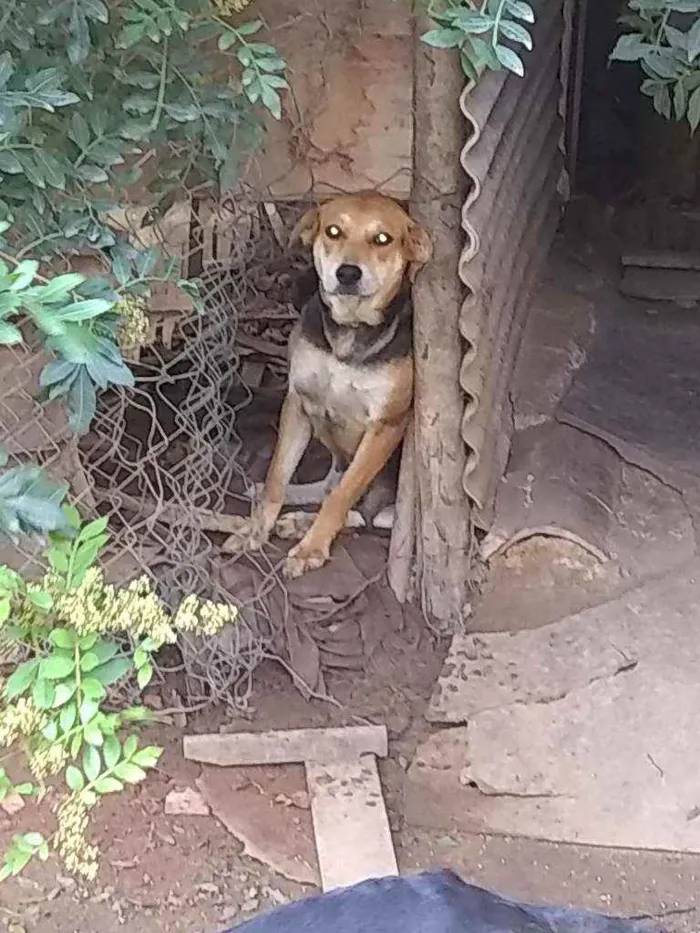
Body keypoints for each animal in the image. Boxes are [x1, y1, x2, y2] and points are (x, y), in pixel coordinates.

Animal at [246, 191, 432, 576]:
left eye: (382, 239)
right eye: (333, 231)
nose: (347, 273)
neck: (349, 331)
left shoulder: (386, 424)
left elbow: (341, 497)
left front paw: (311, 548)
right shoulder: (298, 401)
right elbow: (276, 477)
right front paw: (257, 527)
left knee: (361, 511)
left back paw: (303, 525)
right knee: (328, 486)